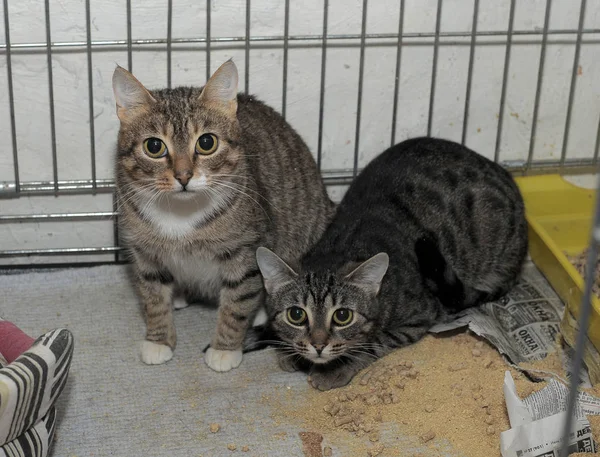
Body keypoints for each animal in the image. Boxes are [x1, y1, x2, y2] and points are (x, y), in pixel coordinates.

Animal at [112, 58, 336, 370]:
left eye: (207, 143)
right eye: (154, 146)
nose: (183, 176)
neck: (181, 216)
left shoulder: (246, 252)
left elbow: (237, 303)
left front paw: (225, 348)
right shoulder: (145, 254)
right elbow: (153, 299)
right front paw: (159, 340)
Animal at [255, 137, 528, 390]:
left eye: (342, 316)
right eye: (296, 314)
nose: (318, 344)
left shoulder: (418, 317)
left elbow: (374, 343)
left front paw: (335, 369)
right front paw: (291, 352)